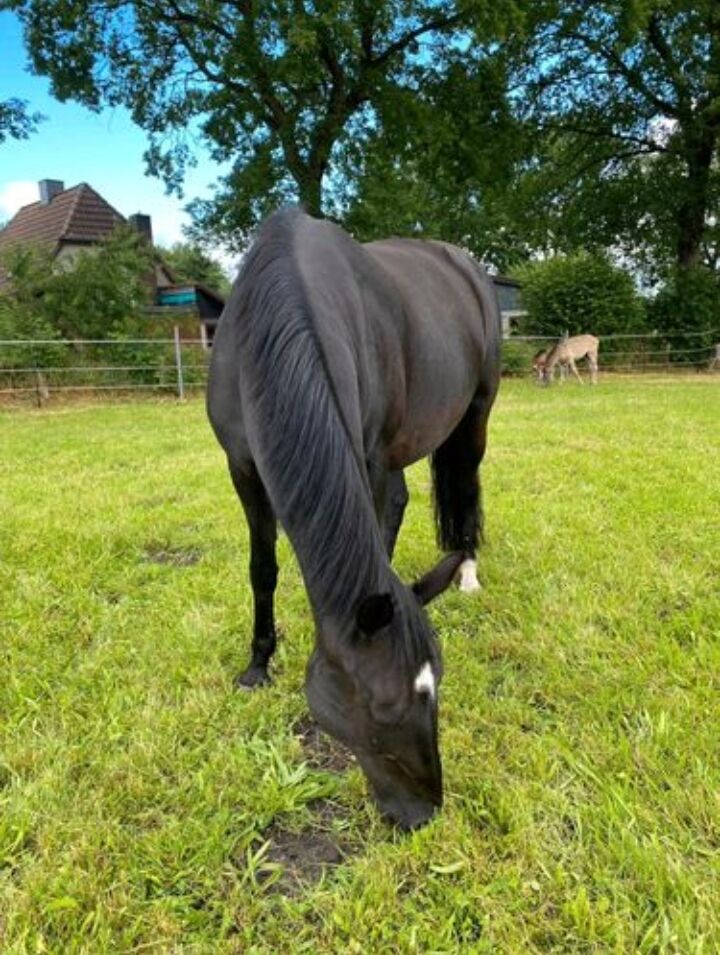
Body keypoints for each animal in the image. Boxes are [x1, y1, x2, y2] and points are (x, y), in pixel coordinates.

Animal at [207, 208, 501, 830]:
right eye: (383, 708)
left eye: (438, 686)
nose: (422, 813)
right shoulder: (242, 468)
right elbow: (262, 570)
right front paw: (257, 665)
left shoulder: (364, 453)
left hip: (474, 415)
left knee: (465, 488)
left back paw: (466, 571)